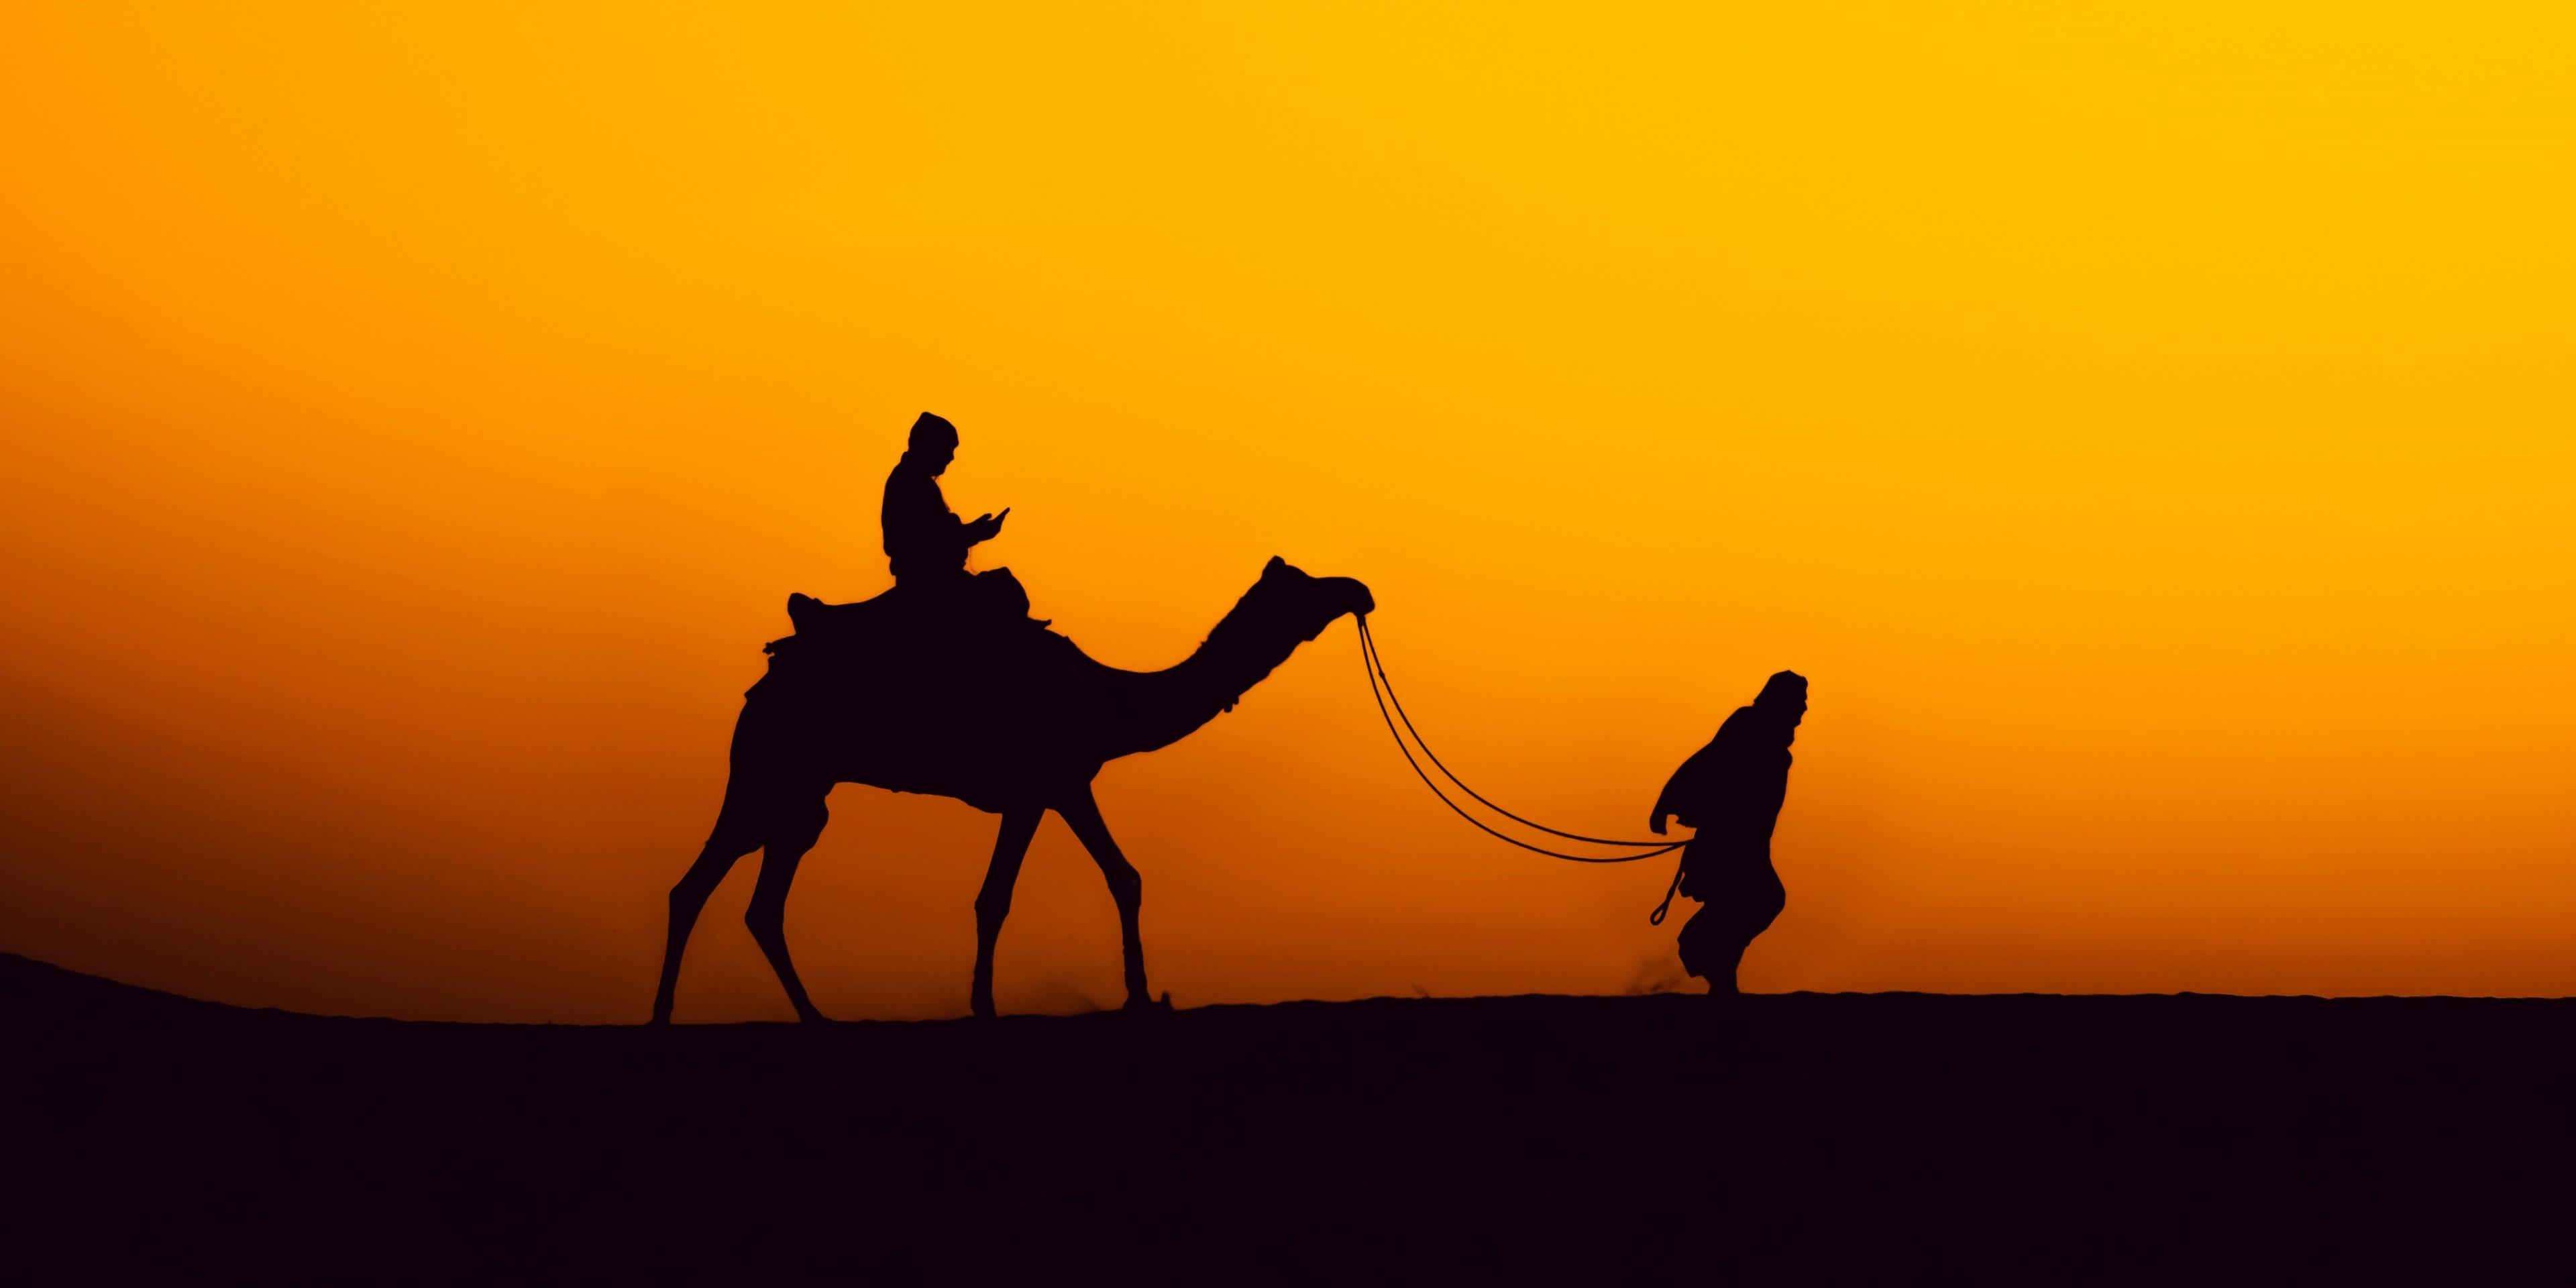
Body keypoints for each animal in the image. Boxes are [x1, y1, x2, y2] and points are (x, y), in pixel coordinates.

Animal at [649, 559, 1370, 1020]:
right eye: (1304, 587)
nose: (1359, 590)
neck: (1107, 696)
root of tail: (762, 686)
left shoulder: (1064, 784)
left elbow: (1123, 876)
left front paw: (1139, 995)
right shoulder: (1041, 786)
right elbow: (998, 898)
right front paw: (986, 1005)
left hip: (799, 794)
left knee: (748, 900)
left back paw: (809, 1018)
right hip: (770, 773)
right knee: (703, 887)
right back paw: (670, 1015)